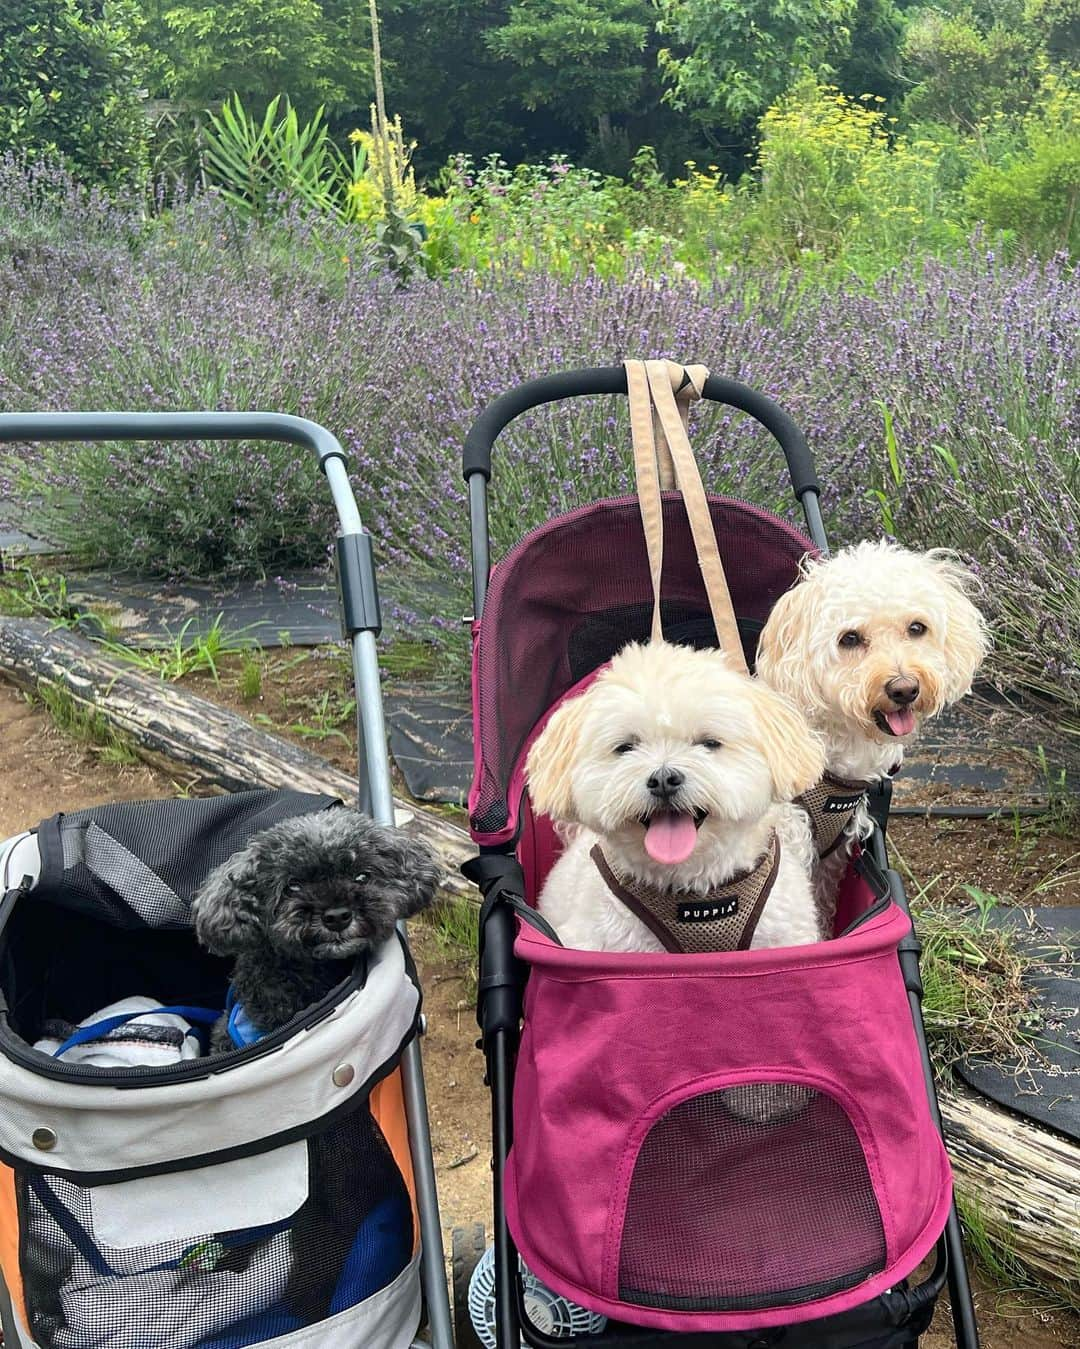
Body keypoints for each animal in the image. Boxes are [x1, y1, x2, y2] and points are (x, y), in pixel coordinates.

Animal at [755, 542, 992, 922]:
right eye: (849, 638)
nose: (905, 688)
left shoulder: (833, 853)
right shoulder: (786, 837)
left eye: (916, 628)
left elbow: (823, 899)